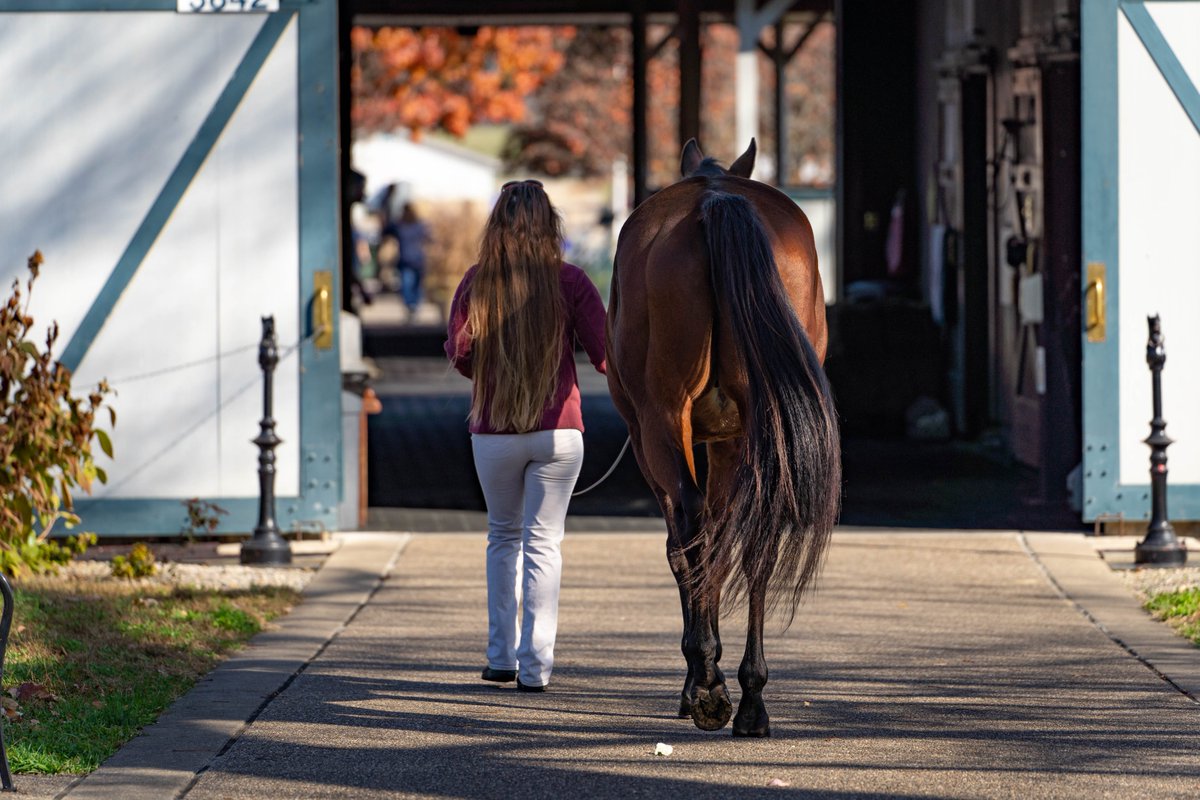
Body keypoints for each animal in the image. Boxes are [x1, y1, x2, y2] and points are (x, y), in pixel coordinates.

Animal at [604, 139, 840, 738]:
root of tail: (715, 201)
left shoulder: (656, 441)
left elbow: (686, 544)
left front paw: (697, 678)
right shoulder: (732, 441)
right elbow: (725, 540)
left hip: (662, 422)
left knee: (690, 530)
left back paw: (709, 687)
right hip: (758, 423)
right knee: (757, 541)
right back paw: (752, 698)